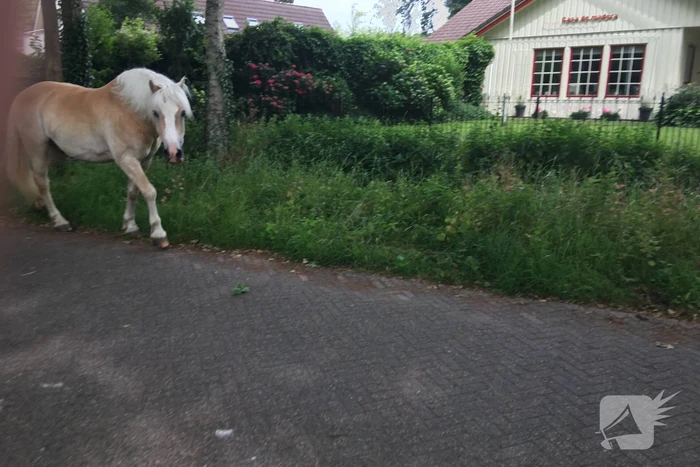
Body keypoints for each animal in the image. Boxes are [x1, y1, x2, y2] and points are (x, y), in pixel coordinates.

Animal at [3, 67, 193, 249]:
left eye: (183, 113)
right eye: (155, 113)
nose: (174, 153)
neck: (130, 111)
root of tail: (21, 96)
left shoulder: (144, 161)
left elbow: (133, 191)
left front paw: (130, 226)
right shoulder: (126, 159)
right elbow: (149, 191)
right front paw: (159, 234)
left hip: (51, 151)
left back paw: (38, 205)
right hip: (37, 148)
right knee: (42, 183)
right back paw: (60, 221)